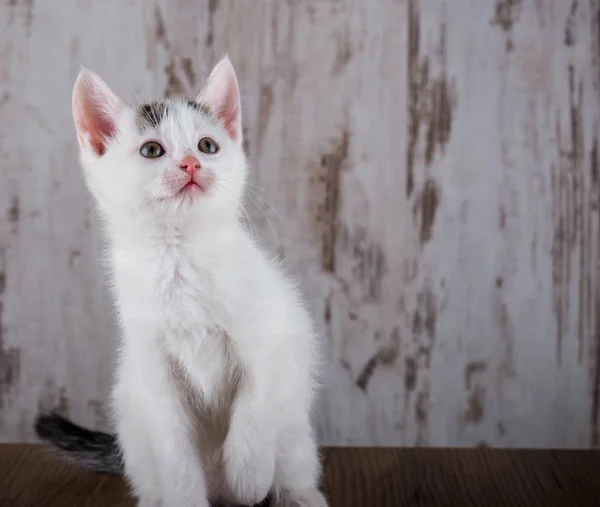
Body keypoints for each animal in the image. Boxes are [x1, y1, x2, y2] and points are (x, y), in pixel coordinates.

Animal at [36, 55, 328, 507]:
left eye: (208, 145)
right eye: (152, 150)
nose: (191, 163)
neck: (180, 256)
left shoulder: (270, 341)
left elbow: (254, 408)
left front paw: (248, 478)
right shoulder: (153, 371)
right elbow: (174, 451)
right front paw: (184, 496)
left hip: (296, 433)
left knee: (294, 462)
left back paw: (295, 494)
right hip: (134, 433)